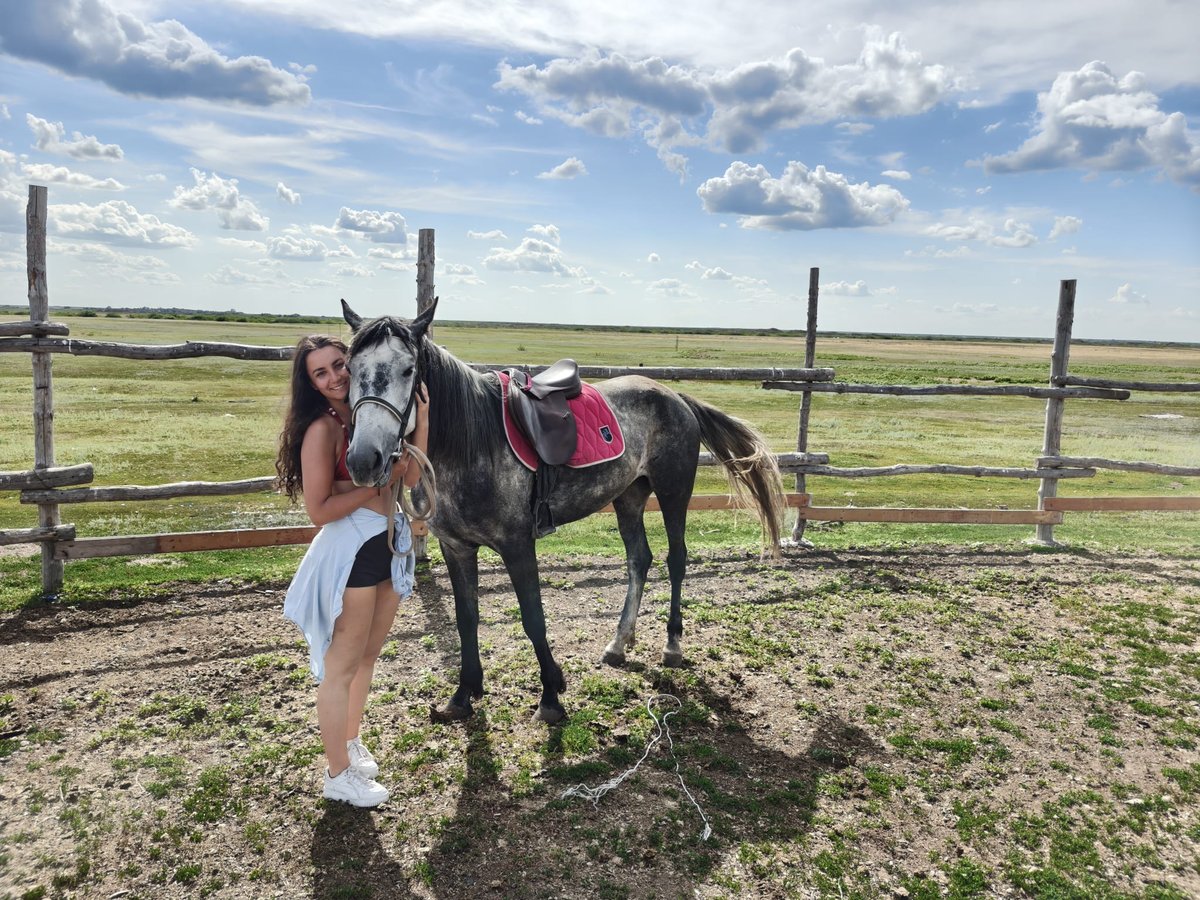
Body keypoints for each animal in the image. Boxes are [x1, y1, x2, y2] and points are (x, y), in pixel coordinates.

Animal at [340, 298, 785, 724]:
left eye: (408, 370)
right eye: (349, 368)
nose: (364, 460)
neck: (470, 446)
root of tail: (675, 397)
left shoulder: (518, 544)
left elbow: (533, 617)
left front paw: (551, 697)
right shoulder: (457, 547)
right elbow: (466, 618)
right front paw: (463, 695)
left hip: (674, 492)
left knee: (676, 559)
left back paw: (672, 645)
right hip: (629, 496)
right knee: (639, 560)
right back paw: (618, 644)